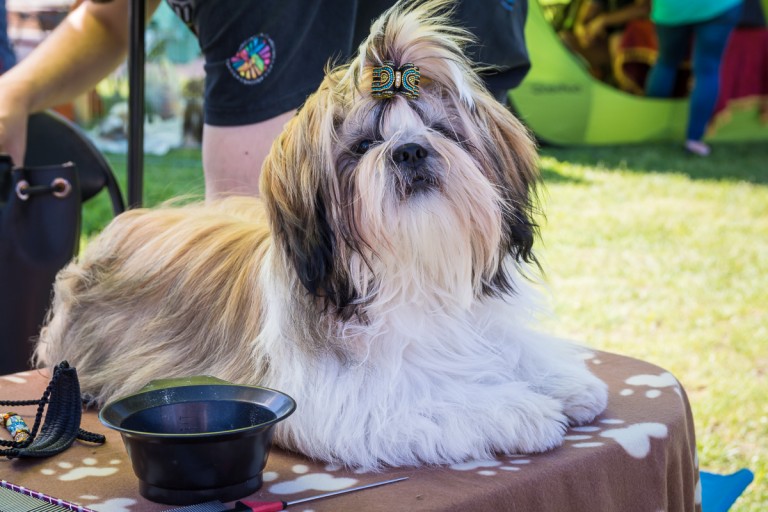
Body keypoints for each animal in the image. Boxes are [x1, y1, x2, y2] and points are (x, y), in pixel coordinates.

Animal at [36, 0, 608, 470]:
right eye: (363, 146)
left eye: (440, 131)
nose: (410, 150)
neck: (413, 266)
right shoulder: (346, 403)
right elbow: (436, 398)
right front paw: (522, 410)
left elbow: (514, 348)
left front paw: (565, 383)